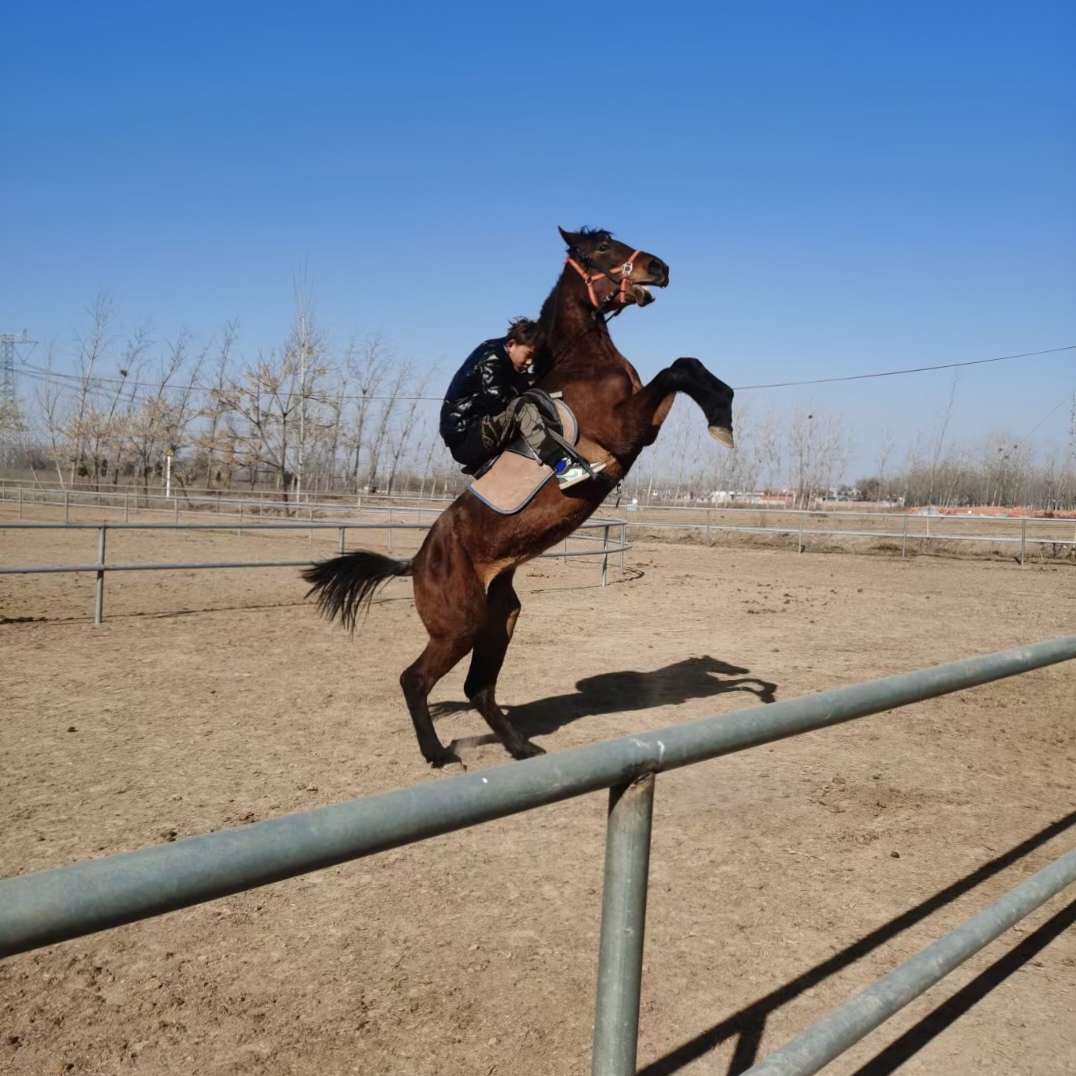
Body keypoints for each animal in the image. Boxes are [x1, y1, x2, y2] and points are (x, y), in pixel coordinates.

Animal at [307, 224, 735, 766]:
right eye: (600, 248)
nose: (659, 268)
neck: (583, 362)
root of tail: (416, 561)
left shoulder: (645, 422)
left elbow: (687, 365)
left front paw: (723, 412)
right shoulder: (627, 429)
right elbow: (677, 369)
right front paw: (722, 420)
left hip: (500, 619)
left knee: (478, 688)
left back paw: (521, 748)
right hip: (461, 625)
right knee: (414, 679)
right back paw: (438, 754)